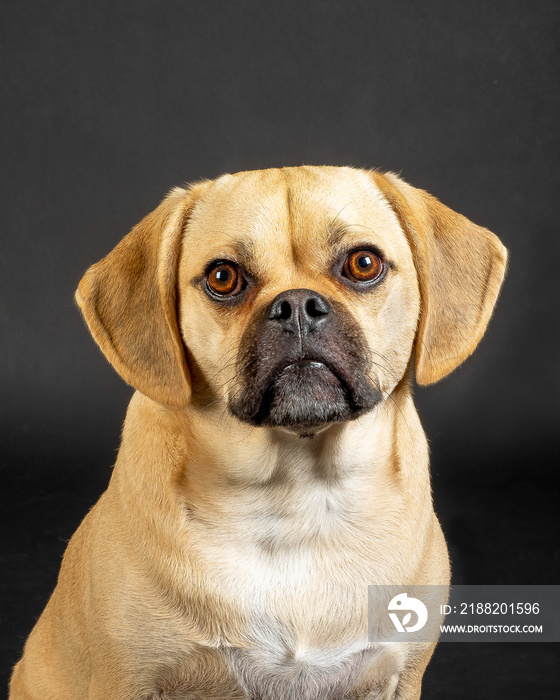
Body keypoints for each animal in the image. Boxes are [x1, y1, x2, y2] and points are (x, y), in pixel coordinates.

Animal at [9, 167, 508, 696]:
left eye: (363, 263)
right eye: (223, 277)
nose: (297, 305)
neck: (296, 499)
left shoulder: (400, 675)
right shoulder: (128, 679)